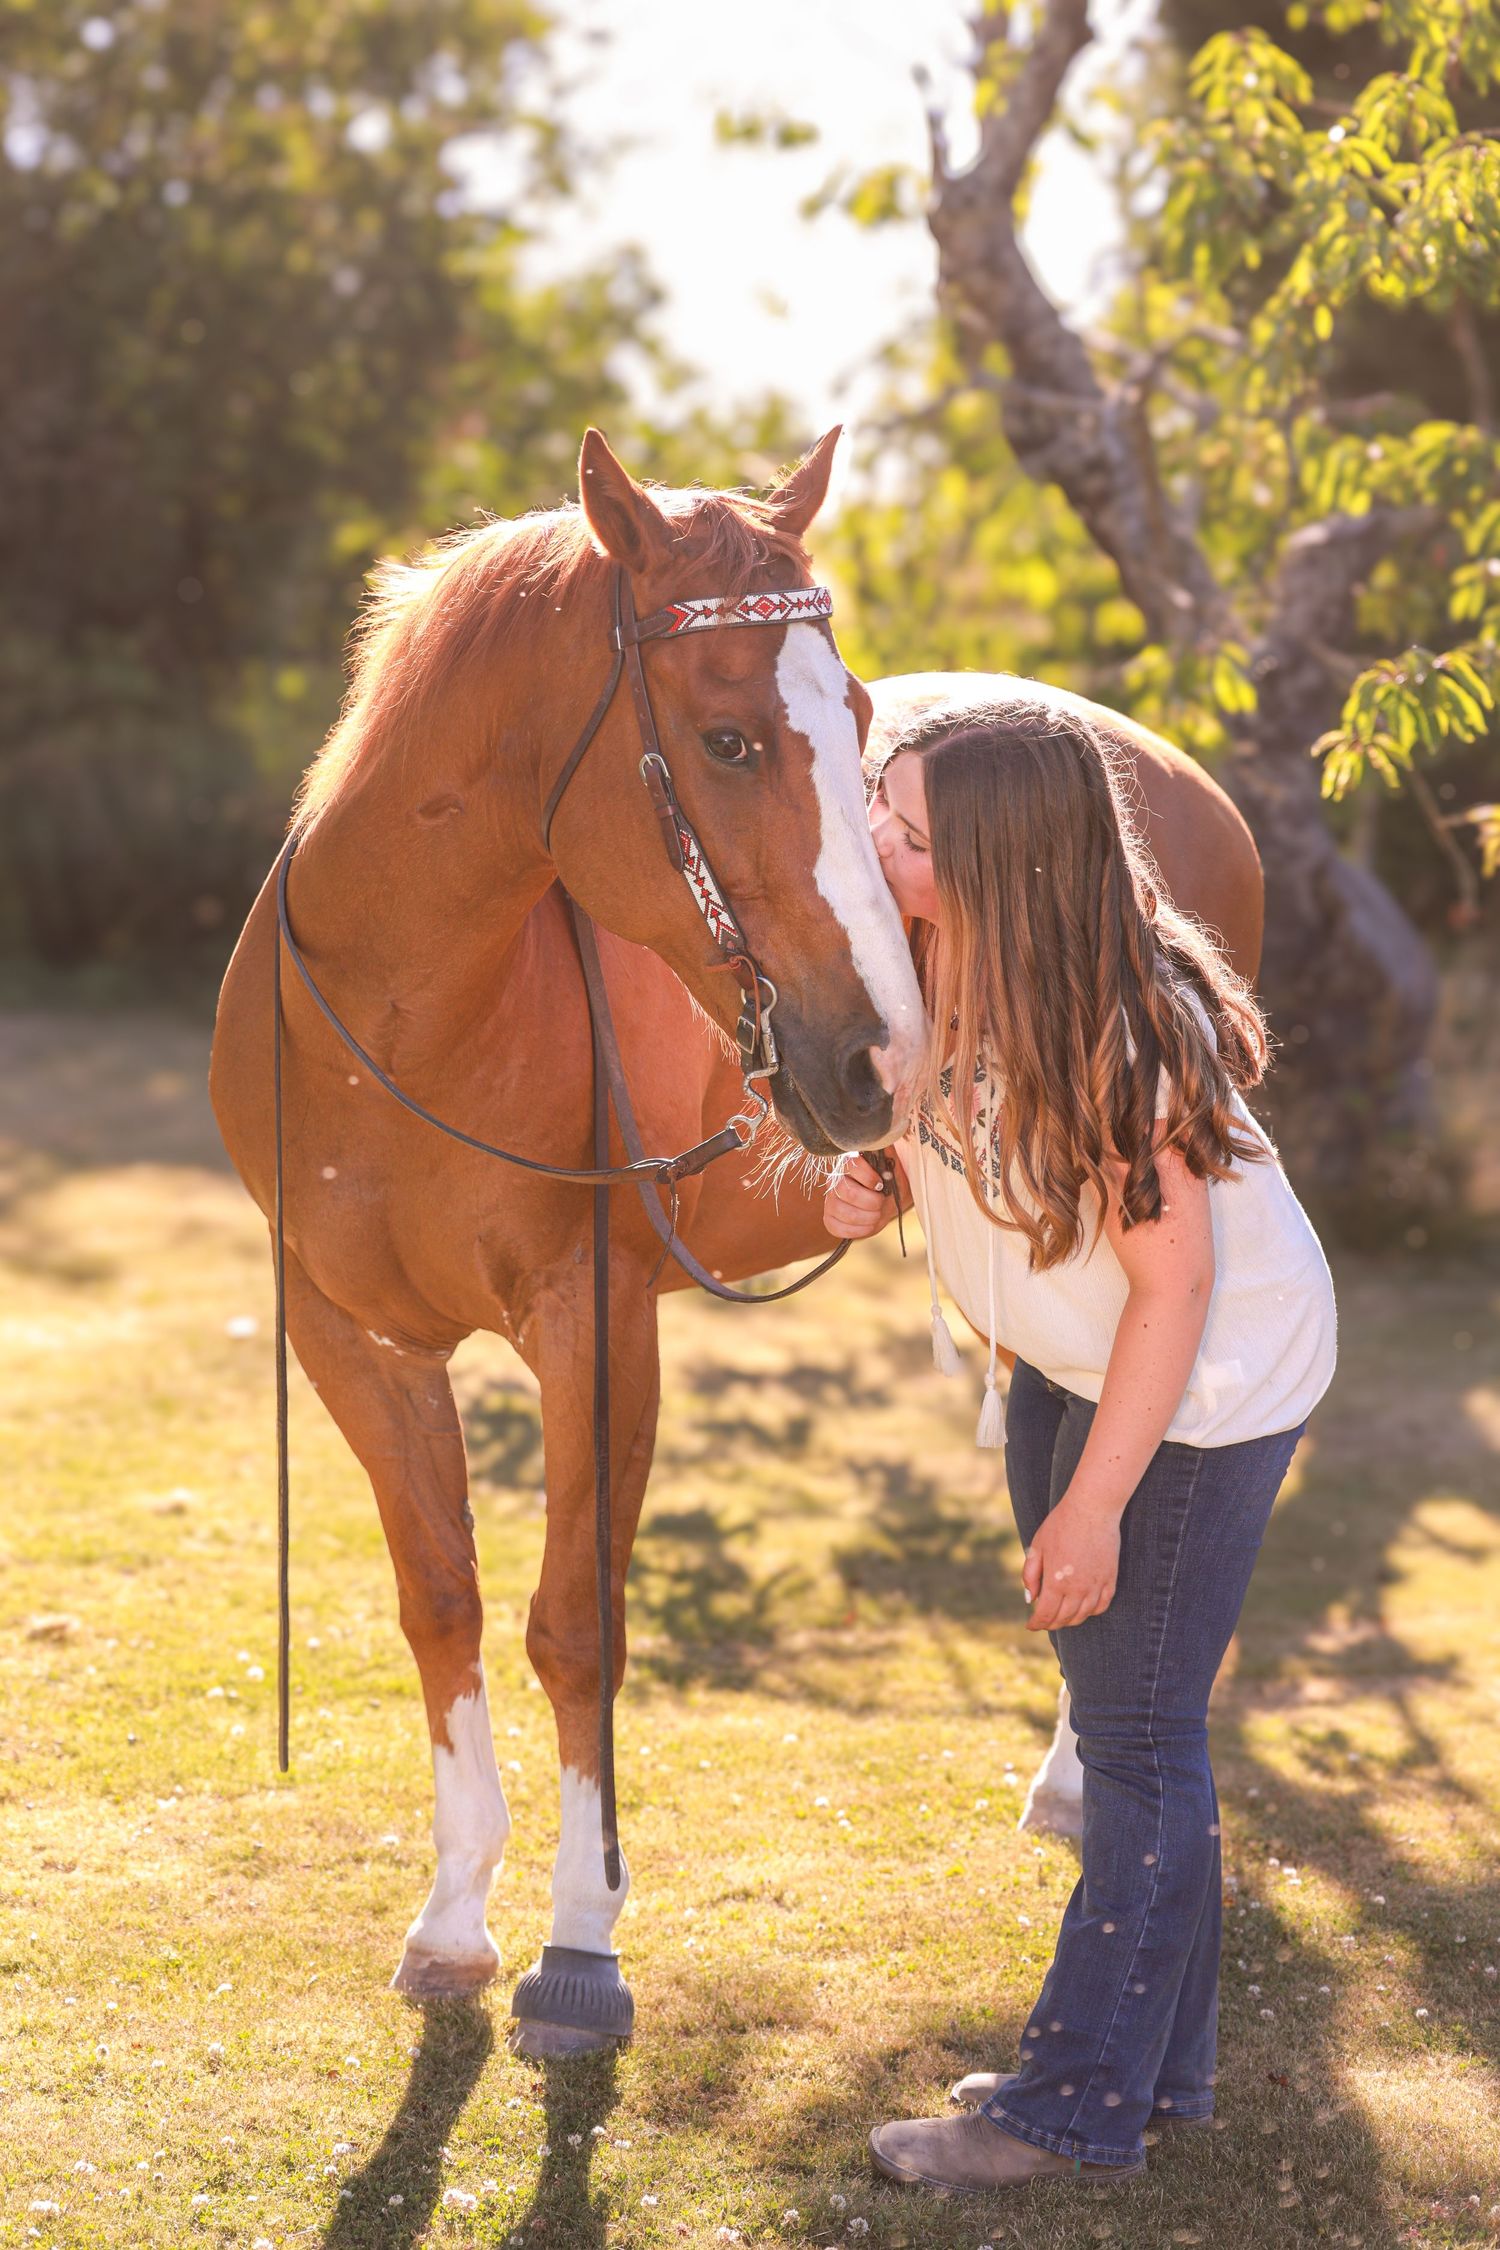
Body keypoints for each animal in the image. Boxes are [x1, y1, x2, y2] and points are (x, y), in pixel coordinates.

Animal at [209, 431, 1263, 2053]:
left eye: (861, 718)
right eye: (727, 741)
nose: (888, 1055)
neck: (403, 1018)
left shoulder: (596, 1323)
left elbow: (575, 1624)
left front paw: (579, 1942)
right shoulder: (348, 1335)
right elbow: (440, 1602)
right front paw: (452, 1917)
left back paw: (1084, 1783)